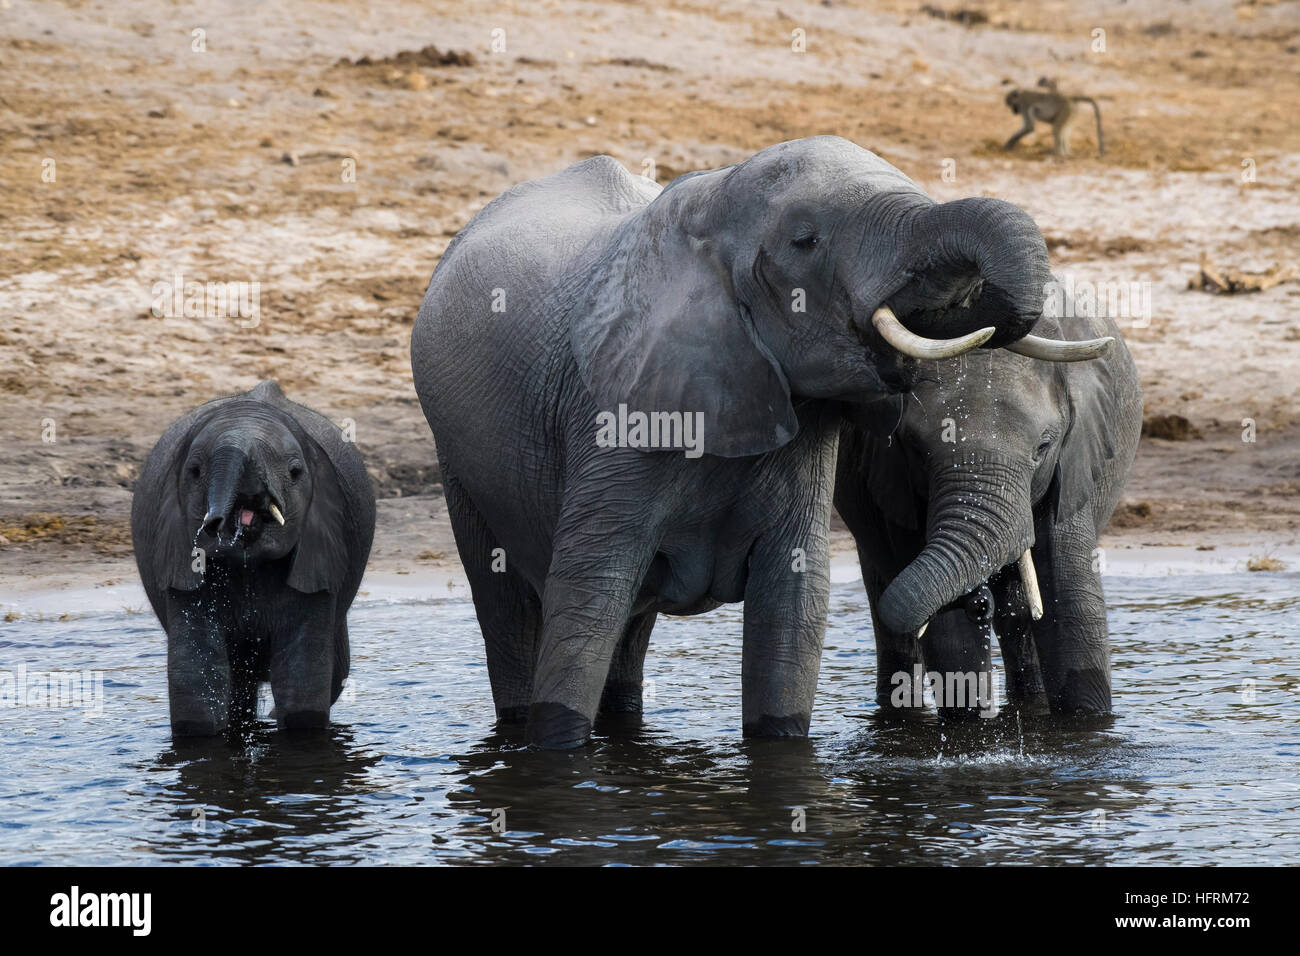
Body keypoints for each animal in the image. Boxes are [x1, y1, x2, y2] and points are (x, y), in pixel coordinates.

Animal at [410, 136, 1102, 749]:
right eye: (805, 240)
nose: (982, 603)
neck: (711, 202)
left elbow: (793, 600)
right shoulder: (612, 415)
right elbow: (587, 593)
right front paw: (558, 756)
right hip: (457, 464)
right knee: (507, 602)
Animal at [832, 304, 1138, 717]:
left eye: (1043, 448)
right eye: (915, 449)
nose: (979, 602)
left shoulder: (1073, 462)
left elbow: (1072, 604)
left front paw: (1087, 722)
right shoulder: (893, 478)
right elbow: (950, 640)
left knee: (1020, 614)